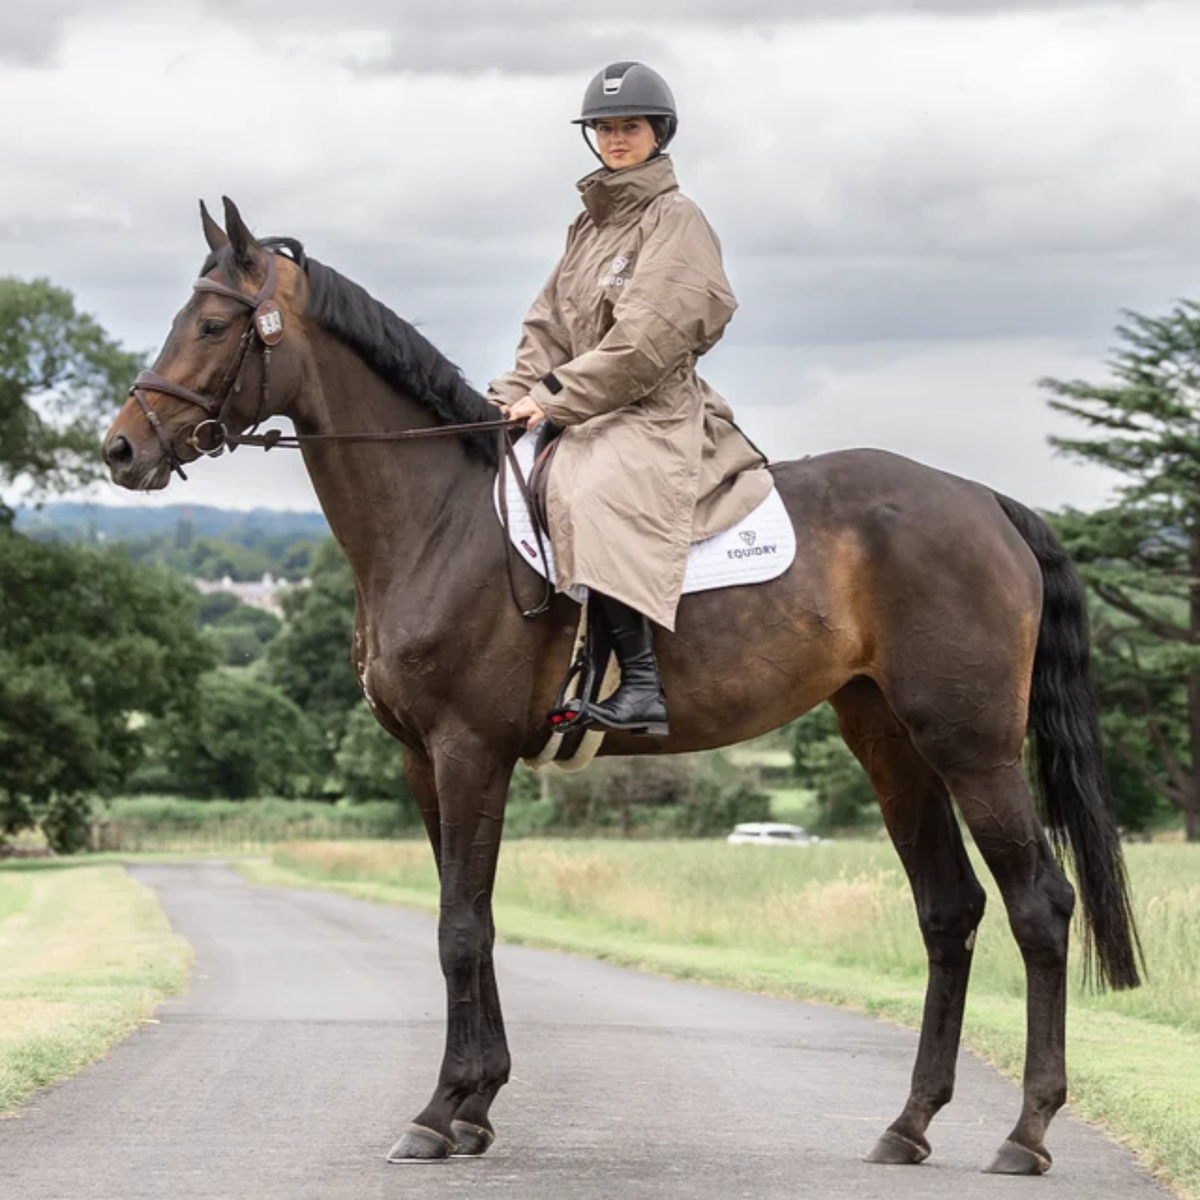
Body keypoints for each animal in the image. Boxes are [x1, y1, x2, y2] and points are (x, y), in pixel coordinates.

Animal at [101, 197, 1140, 1176]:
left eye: (212, 324)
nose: (121, 449)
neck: (438, 518)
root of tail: (985, 502)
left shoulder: (469, 751)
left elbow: (459, 928)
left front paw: (439, 1114)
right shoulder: (421, 762)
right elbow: (469, 917)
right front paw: (477, 1105)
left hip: (971, 746)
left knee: (1039, 904)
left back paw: (1026, 1132)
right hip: (890, 742)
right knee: (948, 911)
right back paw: (909, 1124)